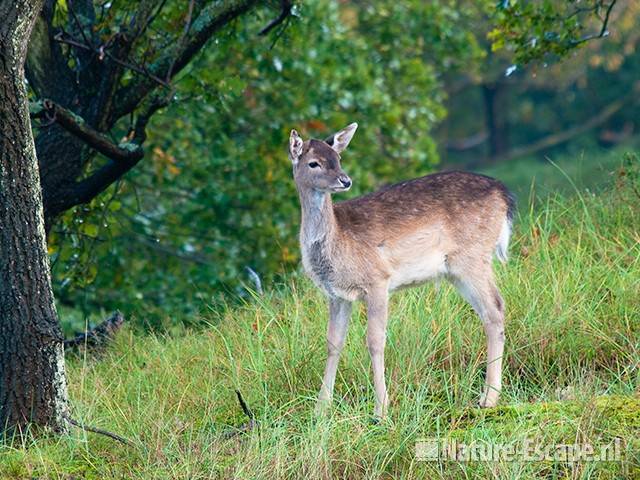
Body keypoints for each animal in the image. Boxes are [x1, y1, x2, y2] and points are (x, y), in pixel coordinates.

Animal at [290, 124, 516, 420]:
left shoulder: (377, 279)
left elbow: (375, 341)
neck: (337, 241)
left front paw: (381, 410)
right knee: (489, 312)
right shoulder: (337, 295)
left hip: (472, 257)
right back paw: (488, 396)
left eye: (338, 158)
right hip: (457, 270)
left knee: (495, 306)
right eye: (314, 163)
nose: (345, 180)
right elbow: (333, 343)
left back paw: (489, 398)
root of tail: (504, 193)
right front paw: (320, 409)